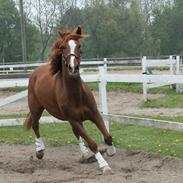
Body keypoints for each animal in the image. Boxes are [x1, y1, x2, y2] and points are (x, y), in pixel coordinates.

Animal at [24, 26, 116, 173]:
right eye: (62, 47)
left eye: (79, 46)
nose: (73, 67)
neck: (76, 94)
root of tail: (35, 72)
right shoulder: (74, 119)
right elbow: (92, 143)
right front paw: (104, 165)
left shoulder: (94, 114)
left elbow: (107, 136)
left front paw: (111, 150)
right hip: (36, 108)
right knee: (35, 125)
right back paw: (40, 151)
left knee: (76, 133)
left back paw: (85, 155)